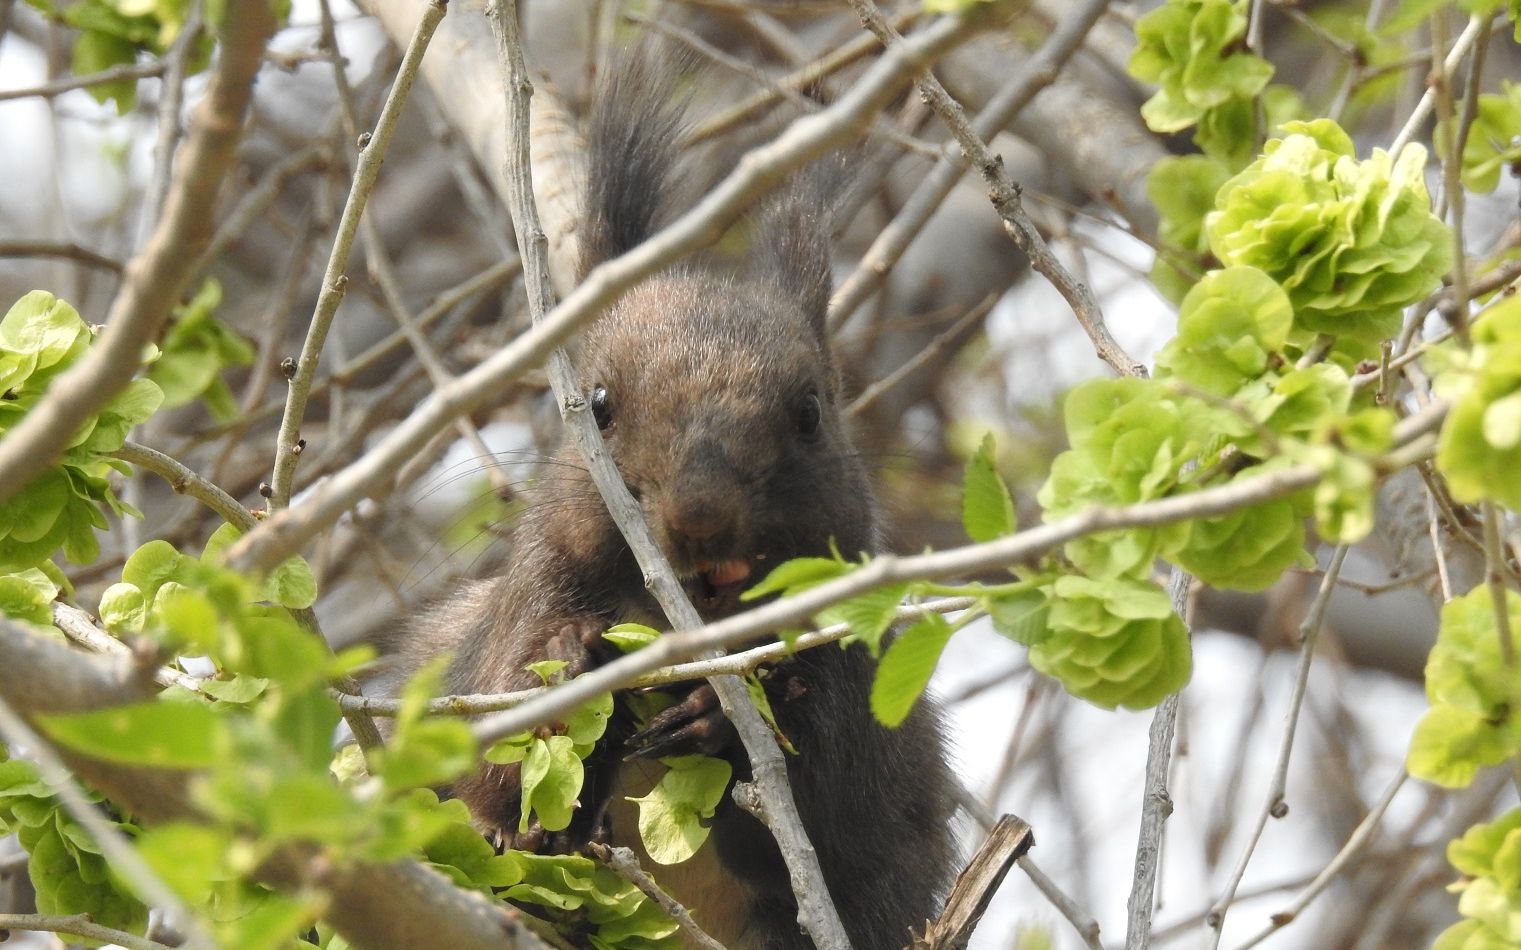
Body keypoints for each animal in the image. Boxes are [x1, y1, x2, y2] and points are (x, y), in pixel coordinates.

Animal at [398, 53, 955, 948]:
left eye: (810, 412)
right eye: (595, 401)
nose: (698, 518)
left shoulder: (856, 669)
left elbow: (835, 786)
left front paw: (721, 720)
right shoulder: (520, 603)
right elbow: (492, 734)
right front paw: (567, 660)